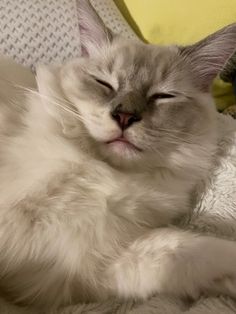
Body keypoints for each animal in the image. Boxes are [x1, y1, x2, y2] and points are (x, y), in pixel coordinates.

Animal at [0, 0, 236, 310]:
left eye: (162, 96)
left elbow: (192, 250)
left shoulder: (85, 259)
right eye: (104, 84)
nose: (124, 116)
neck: (106, 173)